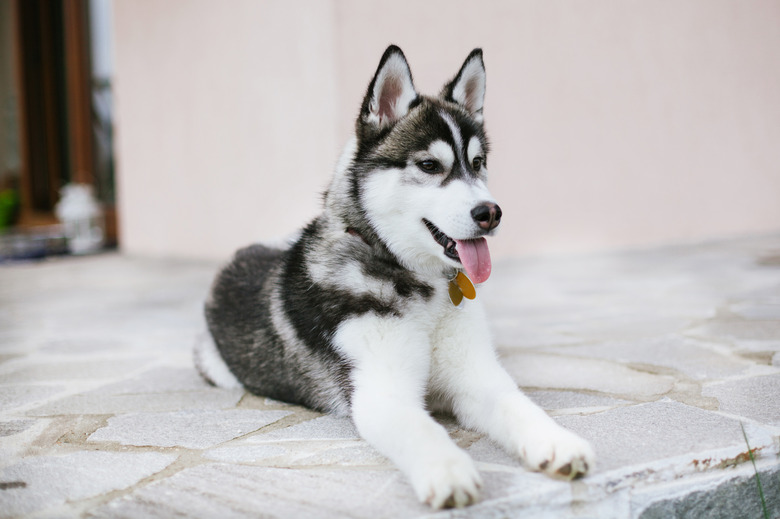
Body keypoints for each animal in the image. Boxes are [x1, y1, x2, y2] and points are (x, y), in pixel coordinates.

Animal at [198, 46, 596, 510]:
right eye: (429, 165)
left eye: (478, 163)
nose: (491, 213)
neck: (420, 284)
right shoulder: (382, 394)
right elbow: (422, 430)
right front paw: (447, 470)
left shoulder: (476, 377)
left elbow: (518, 405)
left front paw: (556, 441)